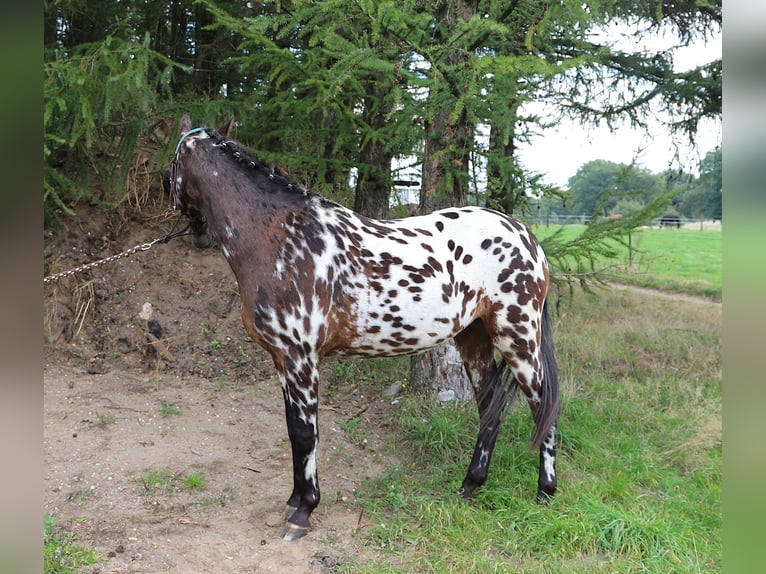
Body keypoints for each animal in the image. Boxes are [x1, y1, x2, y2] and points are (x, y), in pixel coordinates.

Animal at [168, 114, 560, 540]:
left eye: (171, 165)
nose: (197, 236)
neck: (282, 239)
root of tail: (528, 237)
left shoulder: (301, 359)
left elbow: (306, 433)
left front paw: (303, 511)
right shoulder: (282, 361)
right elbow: (293, 431)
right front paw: (293, 500)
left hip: (518, 337)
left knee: (543, 406)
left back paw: (545, 493)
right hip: (472, 338)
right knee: (490, 408)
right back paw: (470, 485)